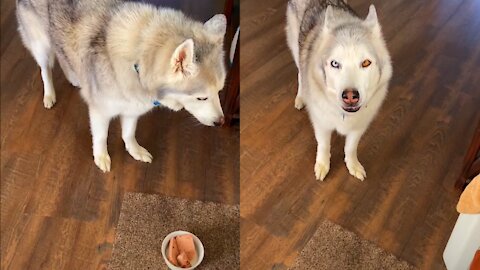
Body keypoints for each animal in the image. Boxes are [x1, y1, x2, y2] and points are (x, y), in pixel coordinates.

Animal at [16, 0, 227, 172]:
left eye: (219, 91)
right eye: (201, 97)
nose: (221, 122)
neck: (137, 63)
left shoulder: (132, 108)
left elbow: (129, 133)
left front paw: (134, 150)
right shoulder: (100, 112)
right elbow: (101, 137)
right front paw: (101, 157)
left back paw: (74, 76)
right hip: (41, 46)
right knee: (45, 68)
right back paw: (49, 95)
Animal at [284, 1, 390, 181]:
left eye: (366, 63)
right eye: (335, 63)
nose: (350, 96)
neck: (344, 115)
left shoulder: (359, 127)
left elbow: (351, 148)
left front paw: (352, 164)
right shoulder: (321, 124)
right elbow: (324, 146)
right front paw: (322, 165)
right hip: (295, 47)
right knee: (300, 73)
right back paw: (301, 97)